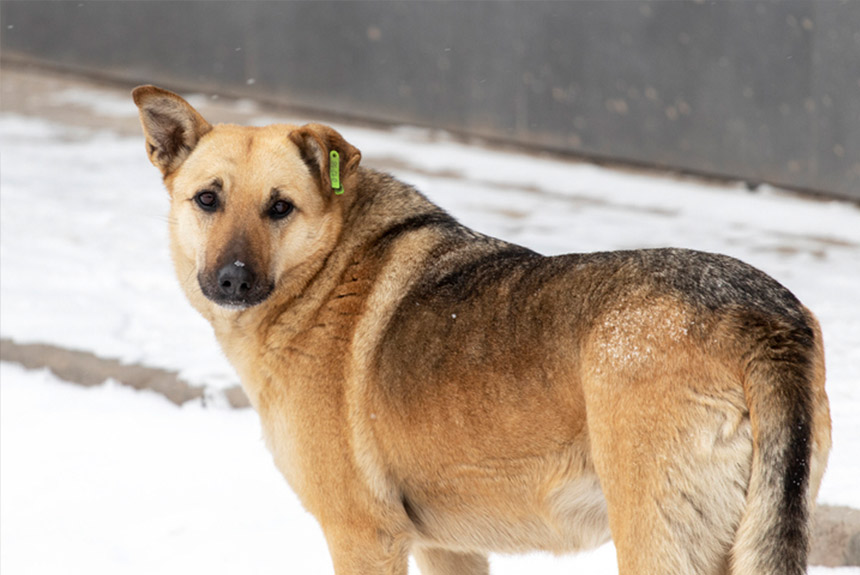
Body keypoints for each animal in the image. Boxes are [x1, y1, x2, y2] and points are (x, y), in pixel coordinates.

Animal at [133, 85, 828, 575]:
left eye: (280, 207)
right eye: (207, 199)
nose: (231, 280)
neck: (327, 272)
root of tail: (756, 315)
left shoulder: (364, 536)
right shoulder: (447, 547)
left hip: (656, 538)